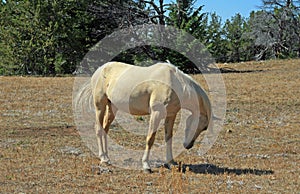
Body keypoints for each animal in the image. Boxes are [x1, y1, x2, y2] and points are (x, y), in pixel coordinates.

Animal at [77, 62, 213, 173]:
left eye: (204, 128)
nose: (188, 145)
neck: (175, 83)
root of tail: (100, 69)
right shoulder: (156, 113)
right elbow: (150, 138)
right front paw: (146, 166)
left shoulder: (171, 115)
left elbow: (168, 138)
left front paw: (171, 162)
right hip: (100, 106)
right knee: (99, 129)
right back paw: (103, 158)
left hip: (112, 107)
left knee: (105, 129)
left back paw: (107, 157)